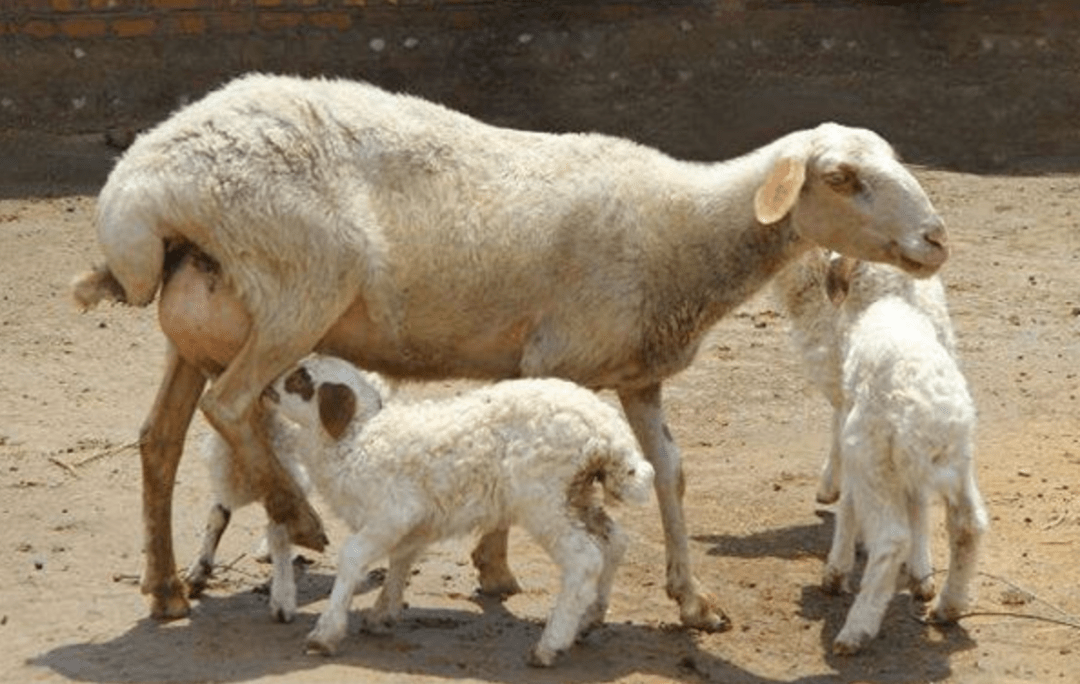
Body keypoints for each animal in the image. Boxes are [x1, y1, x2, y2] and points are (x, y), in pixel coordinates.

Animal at [67, 71, 950, 626]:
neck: (684, 232)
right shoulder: (556, 361)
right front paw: (494, 564)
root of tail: (140, 189)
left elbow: (670, 473)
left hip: (203, 321)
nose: (937, 239)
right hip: (298, 284)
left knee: (161, 438)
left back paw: (165, 588)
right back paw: (297, 516)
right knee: (231, 404)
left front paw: (692, 602)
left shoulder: (639, 375)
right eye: (842, 178)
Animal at [265, 354, 652, 665]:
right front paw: (382, 614)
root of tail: (608, 434)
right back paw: (589, 619)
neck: (356, 437)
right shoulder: (415, 520)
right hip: (578, 495)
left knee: (583, 559)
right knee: (614, 542)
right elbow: (401, 559)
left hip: (545, 500)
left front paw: (325, 633)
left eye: (300, 379)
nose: (266, 388)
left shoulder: (392, 512)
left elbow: (352, 558)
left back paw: (550, 645)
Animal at [773, 249, 989, 652]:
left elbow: (848, 502)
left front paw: (836, 570)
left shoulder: (852, 429)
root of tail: (929, 418)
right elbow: (916, 506)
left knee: (891, 538)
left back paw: (856, 629)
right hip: (957, 463)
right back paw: (948, 607)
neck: (887, 300)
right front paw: (921, 579)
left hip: (873, 457)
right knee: (968, 525)